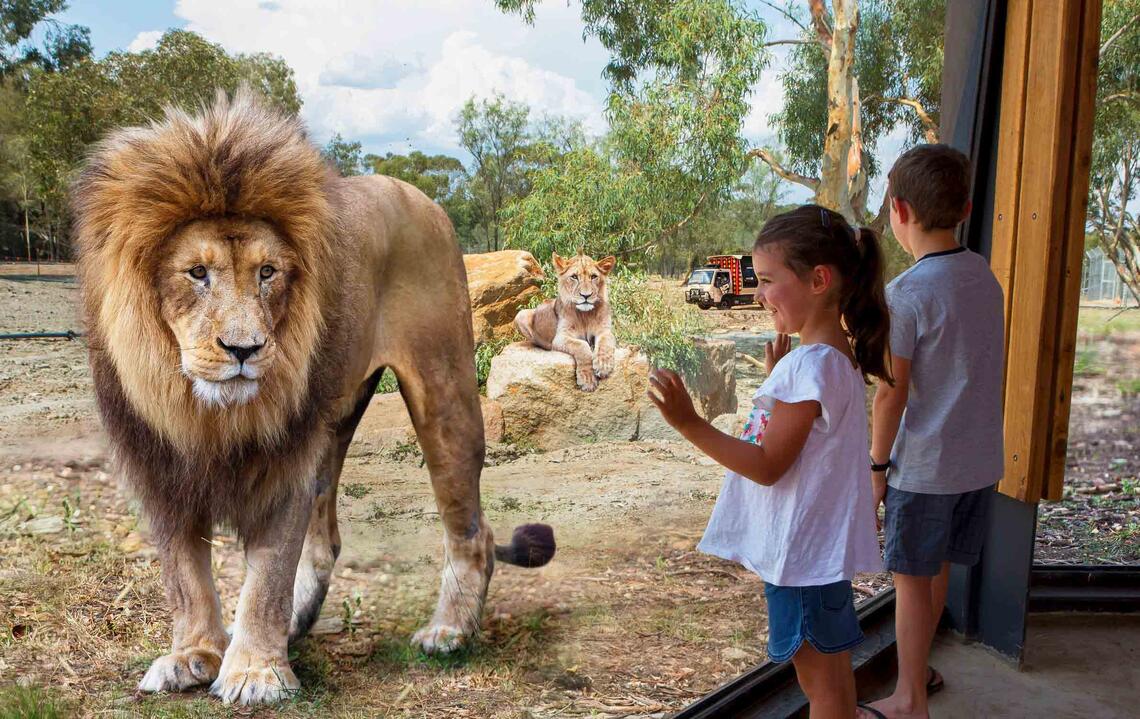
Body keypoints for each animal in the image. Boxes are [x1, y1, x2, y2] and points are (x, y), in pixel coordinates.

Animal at [71, 92, 551, 706]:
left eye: (268, 272)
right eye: (196, 273)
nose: (245, 349)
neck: (203, 411)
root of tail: (422, 198)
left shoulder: (284, 459)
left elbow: (269, 572)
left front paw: (254, 671)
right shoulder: (160, 465)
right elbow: (184, 575)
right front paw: (194, 655)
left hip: (443, 392)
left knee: (473, 531)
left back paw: (449, 631)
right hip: (335, 418)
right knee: (325, 539)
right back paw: (296, 623)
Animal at [517, 250, 620, 391]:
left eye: (593, 276)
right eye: (574, 277)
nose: (586, 295)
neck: (585, 316)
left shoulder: (604, 330)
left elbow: (606, 341)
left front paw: (603, 365)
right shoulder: (561, 337)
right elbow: (582, 346)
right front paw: (587, 379)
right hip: (520, 314)